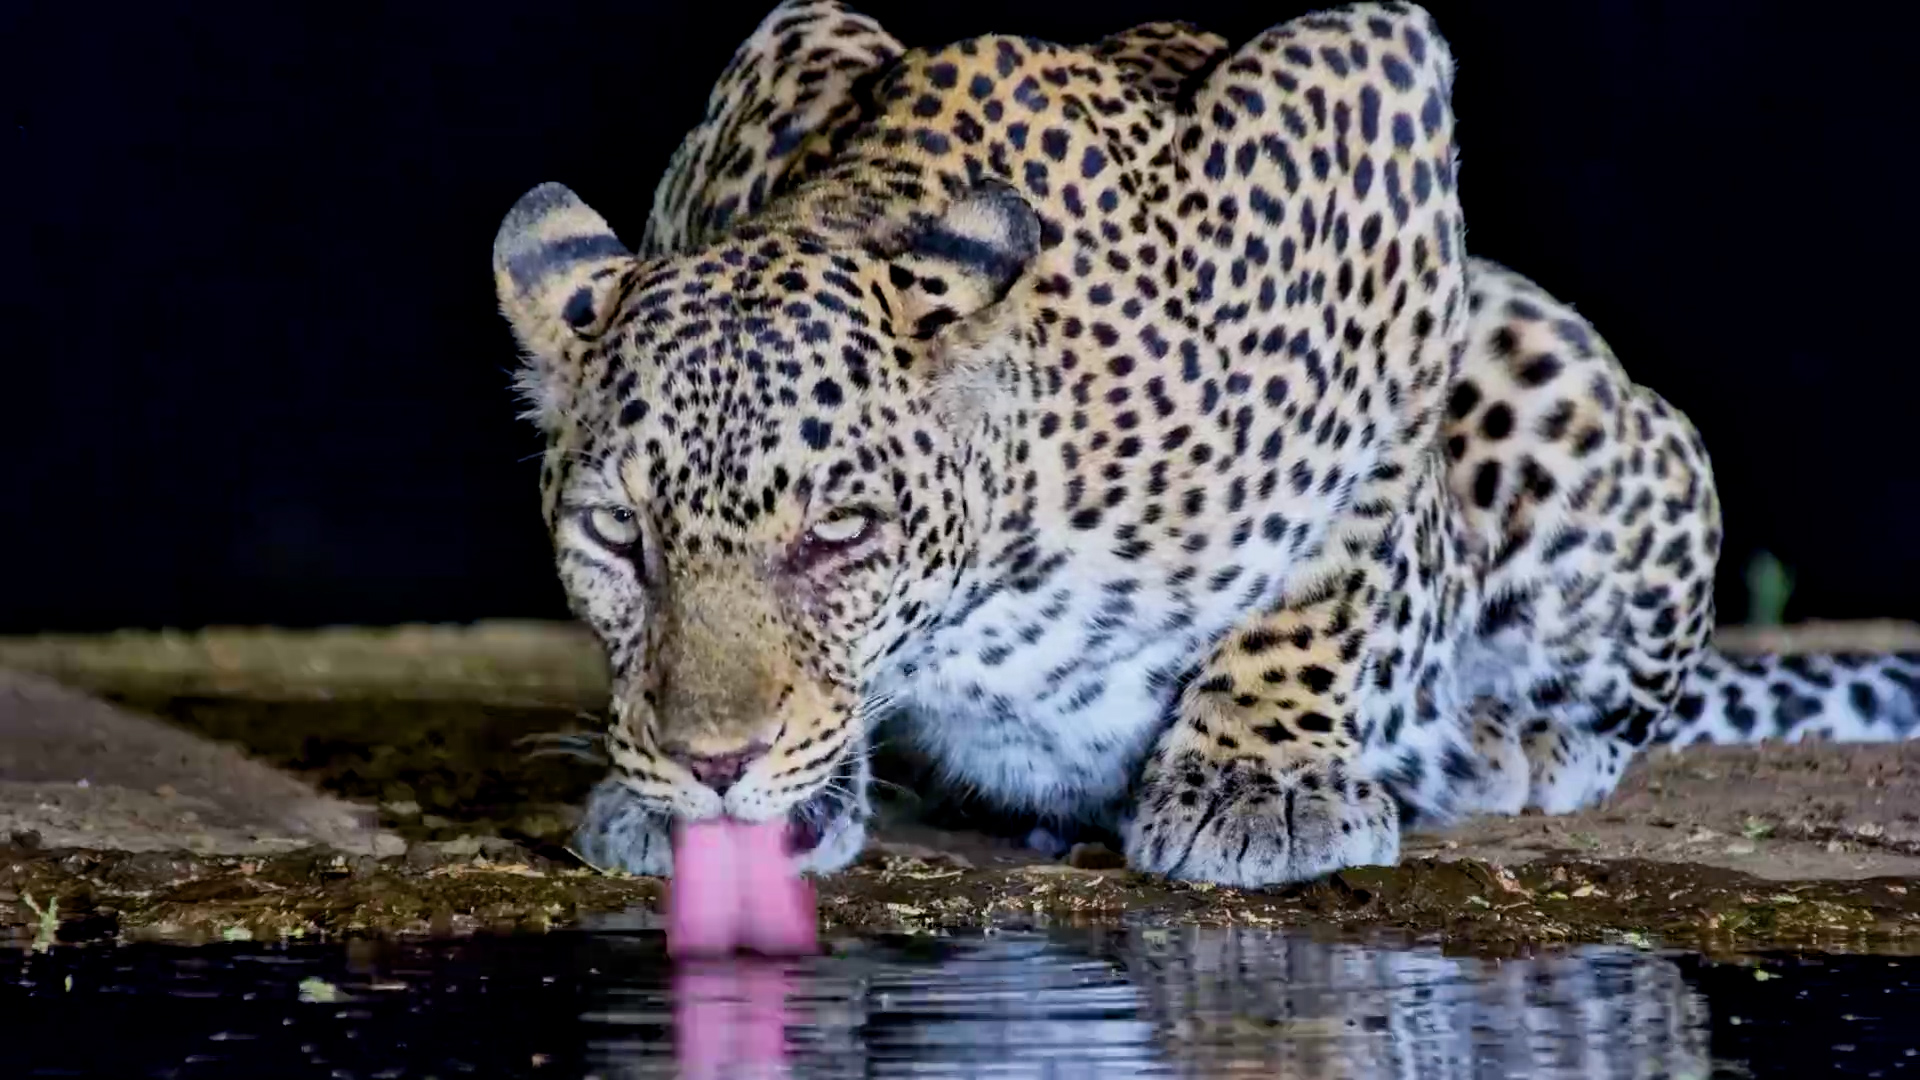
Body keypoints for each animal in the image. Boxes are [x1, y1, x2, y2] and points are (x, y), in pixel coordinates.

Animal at [489, 0, 1920, 887]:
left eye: (840, 533)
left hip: (1574, 401)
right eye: (617, 534)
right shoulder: (785, 47)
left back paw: (1511, 743)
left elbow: (1335, 556)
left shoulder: (1380, 117)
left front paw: (1257, 781)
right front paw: (699, 801)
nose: (712, 766)